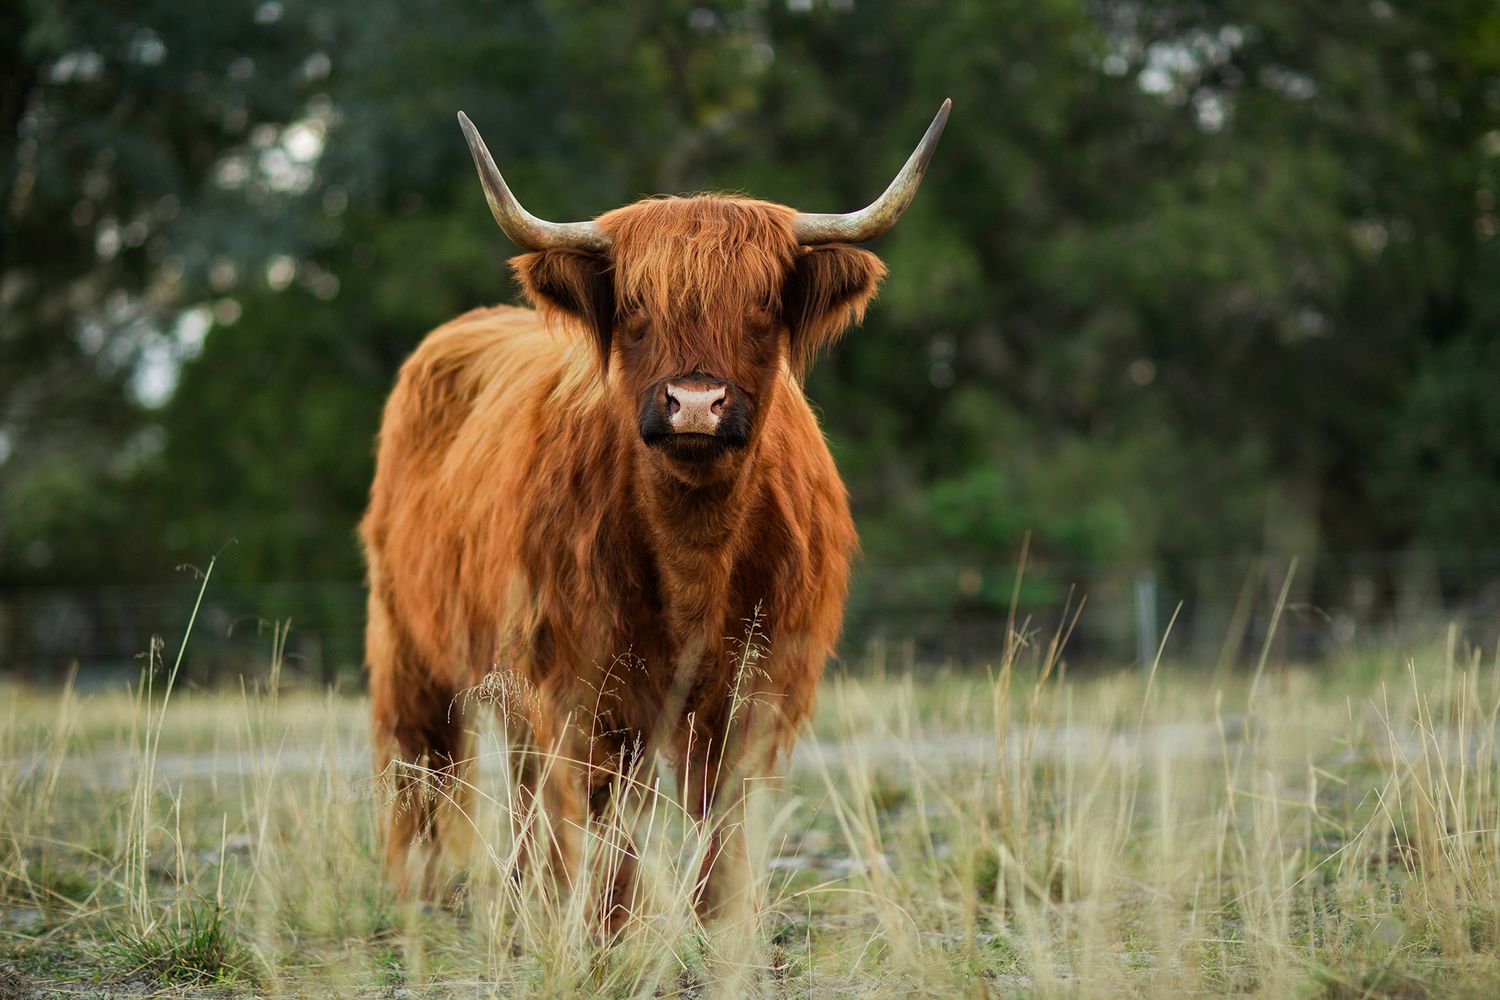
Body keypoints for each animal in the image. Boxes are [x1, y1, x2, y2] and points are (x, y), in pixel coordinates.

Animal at [361, 100, 949, 926]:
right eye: (636, 307)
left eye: (763, 304)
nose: (695, 404)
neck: (693, 553)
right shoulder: (588, 687)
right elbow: (612, 814)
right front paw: (608, 924)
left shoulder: (756, 689)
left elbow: (720, 814)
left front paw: (715, 923)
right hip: (409, 646)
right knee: (428, 769)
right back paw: (439, 894)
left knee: (522, 780)